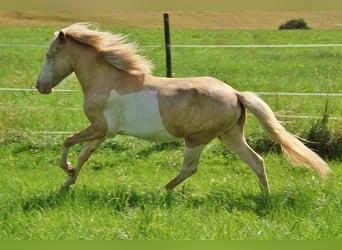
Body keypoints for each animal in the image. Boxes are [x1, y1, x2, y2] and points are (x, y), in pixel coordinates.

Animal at [35, 23, 332, 191]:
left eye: (50, 56)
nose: (40, 87)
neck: (107, 80)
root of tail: (236, 94)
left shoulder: (99, 127)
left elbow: (68, 141)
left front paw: (66, 169)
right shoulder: (104, 132)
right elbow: (84, 155)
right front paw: (68, 182)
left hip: (197, 138)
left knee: (190, 168)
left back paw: (162, 190)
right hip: (230, 136)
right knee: (256, 162)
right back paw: (265, 197)